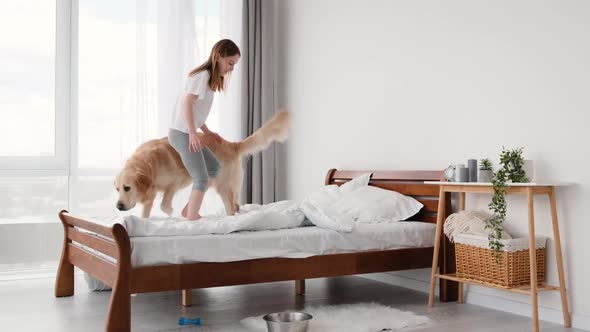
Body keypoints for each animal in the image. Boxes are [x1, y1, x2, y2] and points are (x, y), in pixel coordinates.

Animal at [114, 110, 290, 218]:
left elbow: (165, 203)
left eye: (127, 188)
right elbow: (146, 212)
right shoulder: (150, 193)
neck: (150, 164)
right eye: (117, 189)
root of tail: (231, 144)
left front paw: (170, 211)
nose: (118, 206)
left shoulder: (177, 181)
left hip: (223, 185)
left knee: (231, 206)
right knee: (236, 202)